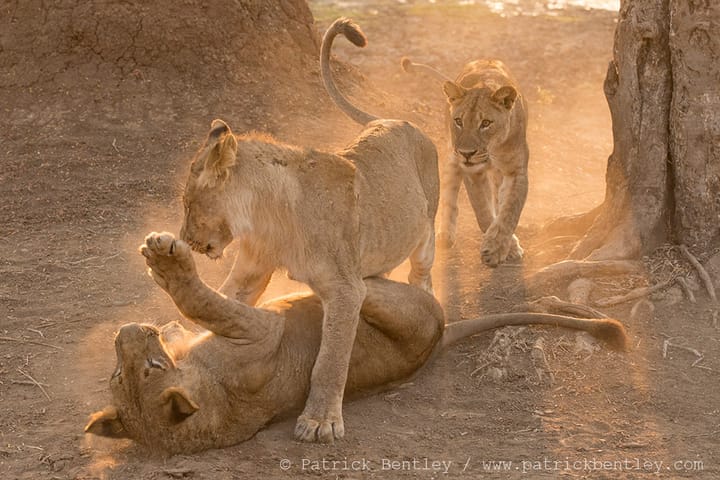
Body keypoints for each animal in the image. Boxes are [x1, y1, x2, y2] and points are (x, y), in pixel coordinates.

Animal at [81, 232, 628, 454]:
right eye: (146, 371)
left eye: (121, 372)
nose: (125, 333)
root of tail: (437, 340)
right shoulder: (262, 329)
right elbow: (204, 302)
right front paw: (168, 269)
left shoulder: (254, 328)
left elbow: (202, 308)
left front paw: (166, 313)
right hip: (392, 303)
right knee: (354, 285)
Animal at [177, 20, 442, 444]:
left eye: (188, 203)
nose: (184, 238)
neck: (266, 214)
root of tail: (393, 120)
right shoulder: (251, 268)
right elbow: (223, 300)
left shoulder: (345, 288)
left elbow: (330, 360)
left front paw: (319, 422)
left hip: (426, 228)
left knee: (422, 268)